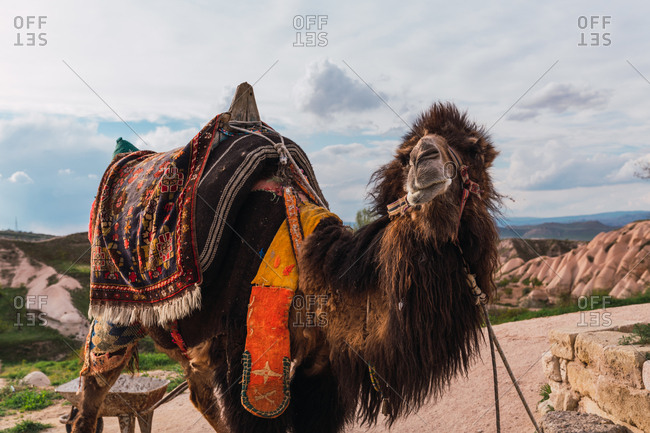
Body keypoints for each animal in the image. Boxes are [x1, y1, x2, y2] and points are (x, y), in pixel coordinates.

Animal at [72, 100, 500, 433]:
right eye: (405, 154)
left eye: (474, 149)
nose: (426, 161)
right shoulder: (250, 359)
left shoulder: (319, 366)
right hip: (114, 316)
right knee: (90, 391)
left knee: (197, 393)